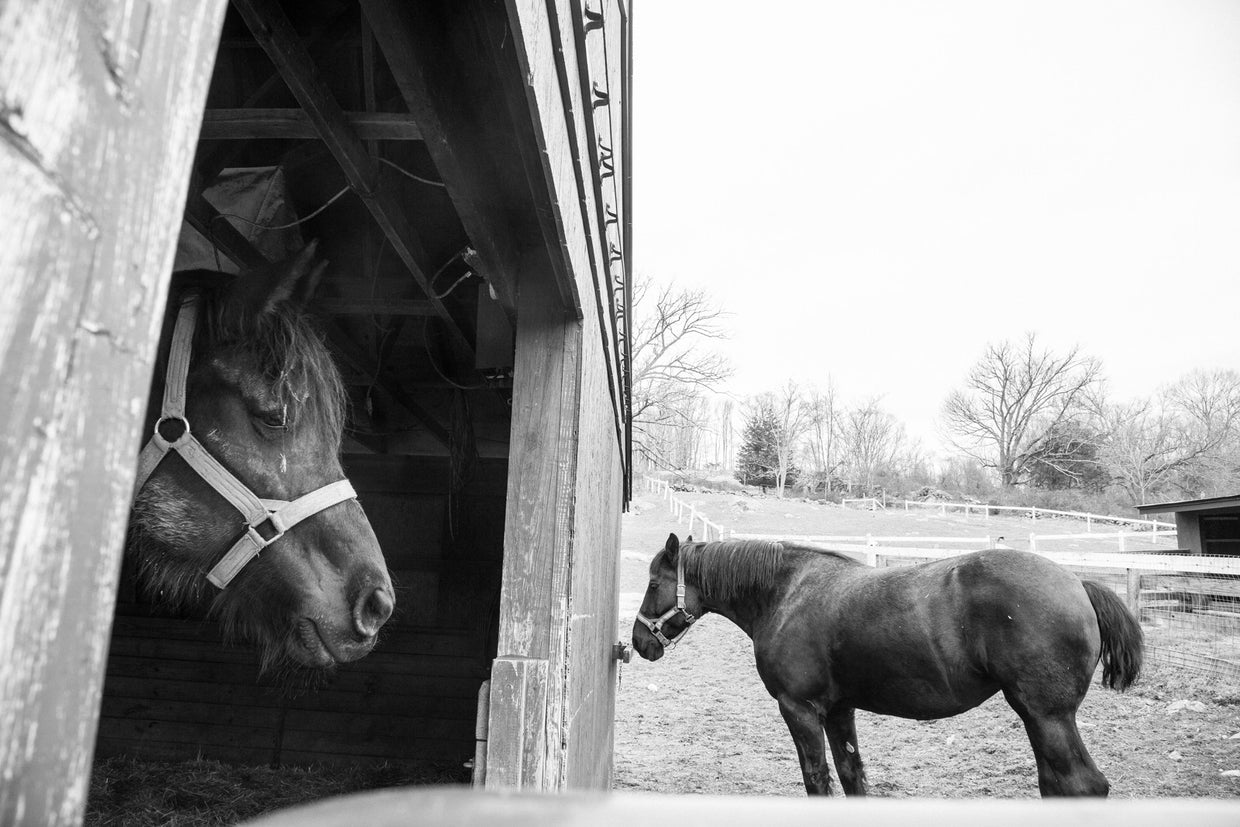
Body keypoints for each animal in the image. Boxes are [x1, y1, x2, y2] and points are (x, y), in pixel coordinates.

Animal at [634, 533, 1145, 798]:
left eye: (654, 583)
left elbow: (817, 778)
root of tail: (1077, 582)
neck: (788, 593)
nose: (639, 642)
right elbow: (851, 775)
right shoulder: (839, 711)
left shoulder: (799, 710)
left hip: (1046, 717)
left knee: (1082, 785)